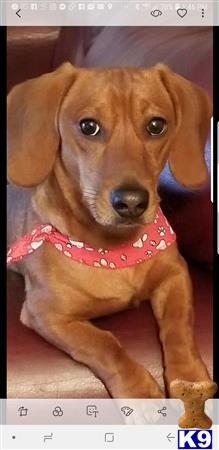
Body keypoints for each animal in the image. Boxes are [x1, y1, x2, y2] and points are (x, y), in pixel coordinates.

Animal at [7, 62, 212, 398]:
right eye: (88, 126)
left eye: (156, 125)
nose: (131, 202)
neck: (115, 250)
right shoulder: (46, 314)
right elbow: (104, 343)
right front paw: (140, 392)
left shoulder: (176, 276)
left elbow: (178, 325)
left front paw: (189, 377)